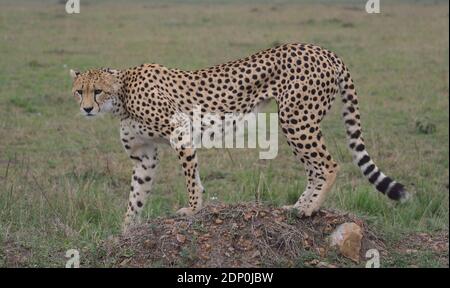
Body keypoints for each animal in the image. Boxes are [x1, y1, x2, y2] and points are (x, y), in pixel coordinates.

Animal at [68, 43, 410, 232]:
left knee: (327, 165)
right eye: (78, 91)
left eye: (97, 91)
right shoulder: (145, 156)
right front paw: (125, 230)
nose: (86, 108)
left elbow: (191, 181)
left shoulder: (180, 133)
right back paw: (297, 207)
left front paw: (192, 210)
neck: (122, 95)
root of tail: (323, 50)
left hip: (296, 118)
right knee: (314, 167)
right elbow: (136, 196)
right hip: (298, 121)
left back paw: (309, 208)